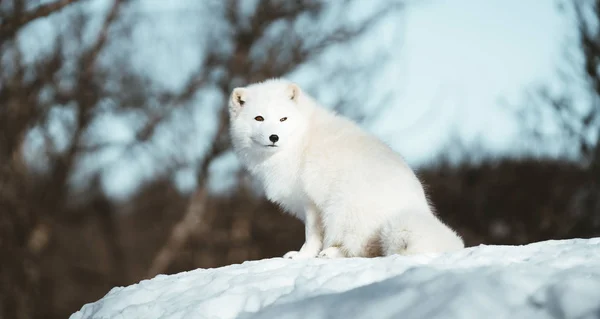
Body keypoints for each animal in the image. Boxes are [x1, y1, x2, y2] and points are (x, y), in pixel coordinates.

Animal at [229, 78, 464, 260]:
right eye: (259, 118)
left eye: (283, 119)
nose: (274, 137)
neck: (300, 140)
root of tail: (417, 210)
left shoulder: (311, 203)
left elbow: (311, 236)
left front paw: (303, 255)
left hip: (341, 208)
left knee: (364, 249)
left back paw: (332, 253)